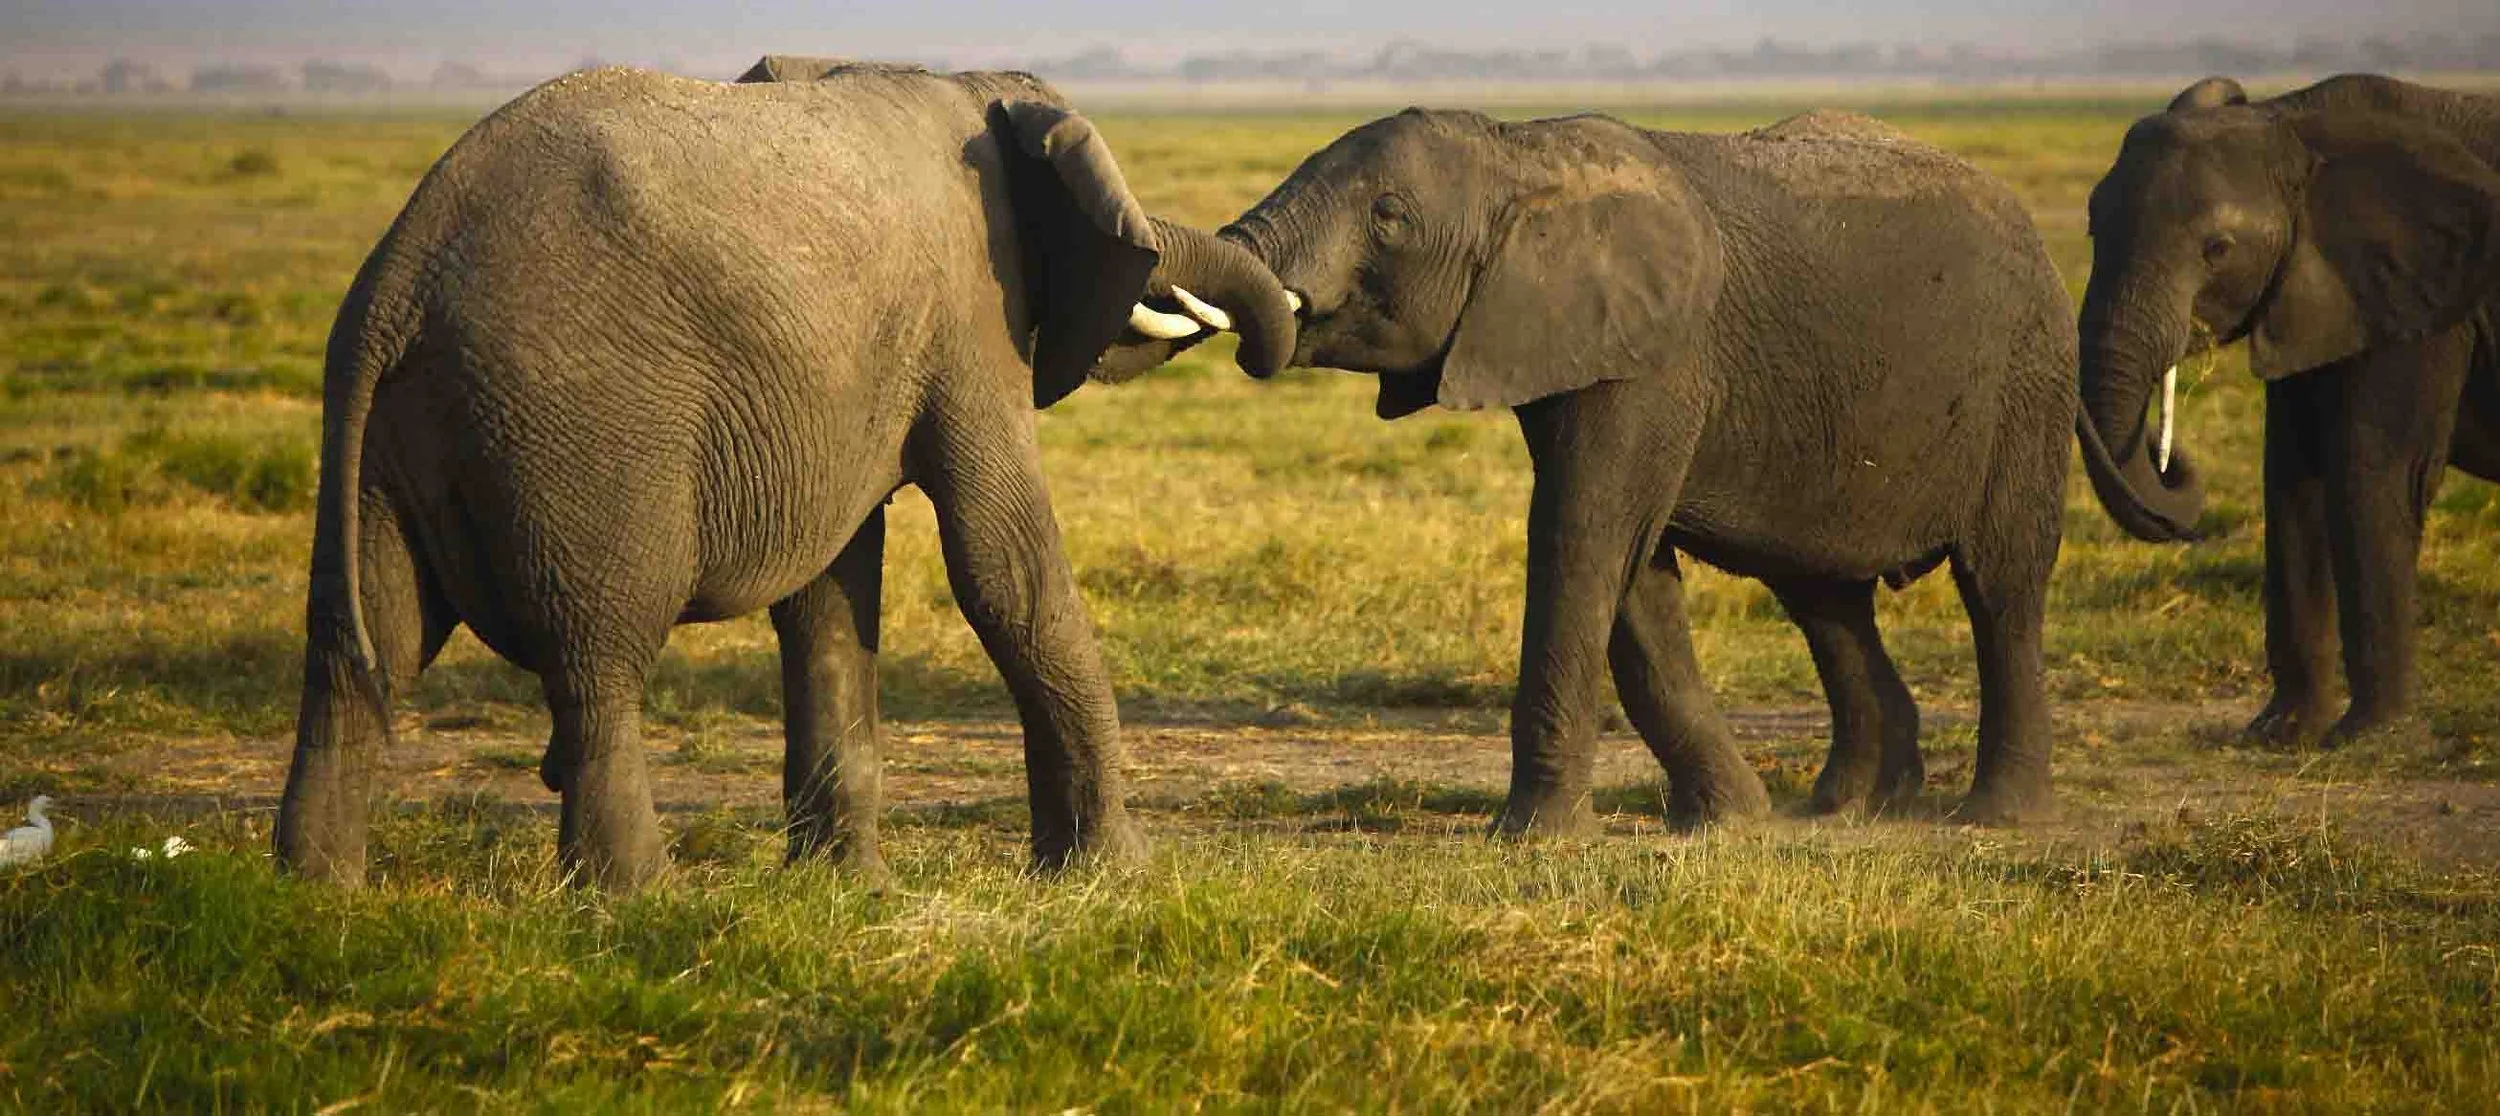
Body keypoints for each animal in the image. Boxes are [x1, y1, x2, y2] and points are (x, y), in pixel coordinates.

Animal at [273, 58, 1295, 890]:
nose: (1261, 350)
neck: (974, 85)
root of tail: (398, 277)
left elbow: (829, 593)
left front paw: (847, 889)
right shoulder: (973, 307)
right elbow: (1003, 564)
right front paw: (1114, 877)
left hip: (385, 440)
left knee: (359, 652)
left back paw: (318, 892)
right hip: (576, 431)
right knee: (596, 655)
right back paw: (637, 896)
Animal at [1197, 107, 2114, 831]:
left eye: (1389, 216)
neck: (1517, 153)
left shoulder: (1657, 356)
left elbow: (1583, 533)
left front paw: (1533, 838)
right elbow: (1631, 568)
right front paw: (1731, 824)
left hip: (2028, 375)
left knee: (2001, 587)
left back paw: (1994, 818)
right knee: (1825, 600)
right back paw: (1850, 808)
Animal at [2076, 74, 2500, 748]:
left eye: (2217, 249)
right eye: (2093, 229)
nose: (2168, 457)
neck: (2290, 122)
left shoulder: (2422, 301)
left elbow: (2372, 474)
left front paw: (2367, 739)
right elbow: (2293, 484)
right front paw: (2281, 732)